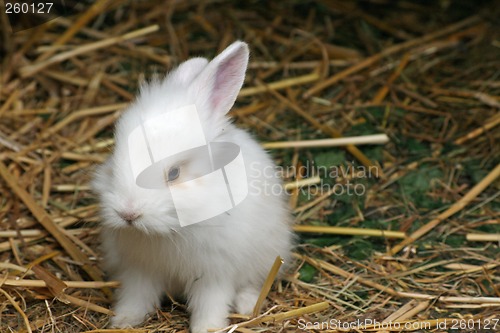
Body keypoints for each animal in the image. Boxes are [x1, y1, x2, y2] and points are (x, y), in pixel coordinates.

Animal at [93, 41, 292, 332]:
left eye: (174, 173)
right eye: (115, 157)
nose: (128, 214)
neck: (169, 232)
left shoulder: (214, 273)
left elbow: (211, 304)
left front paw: (208, 328)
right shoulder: (139, 269)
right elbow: (136, 297)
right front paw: (123, 321)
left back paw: (246, 306)